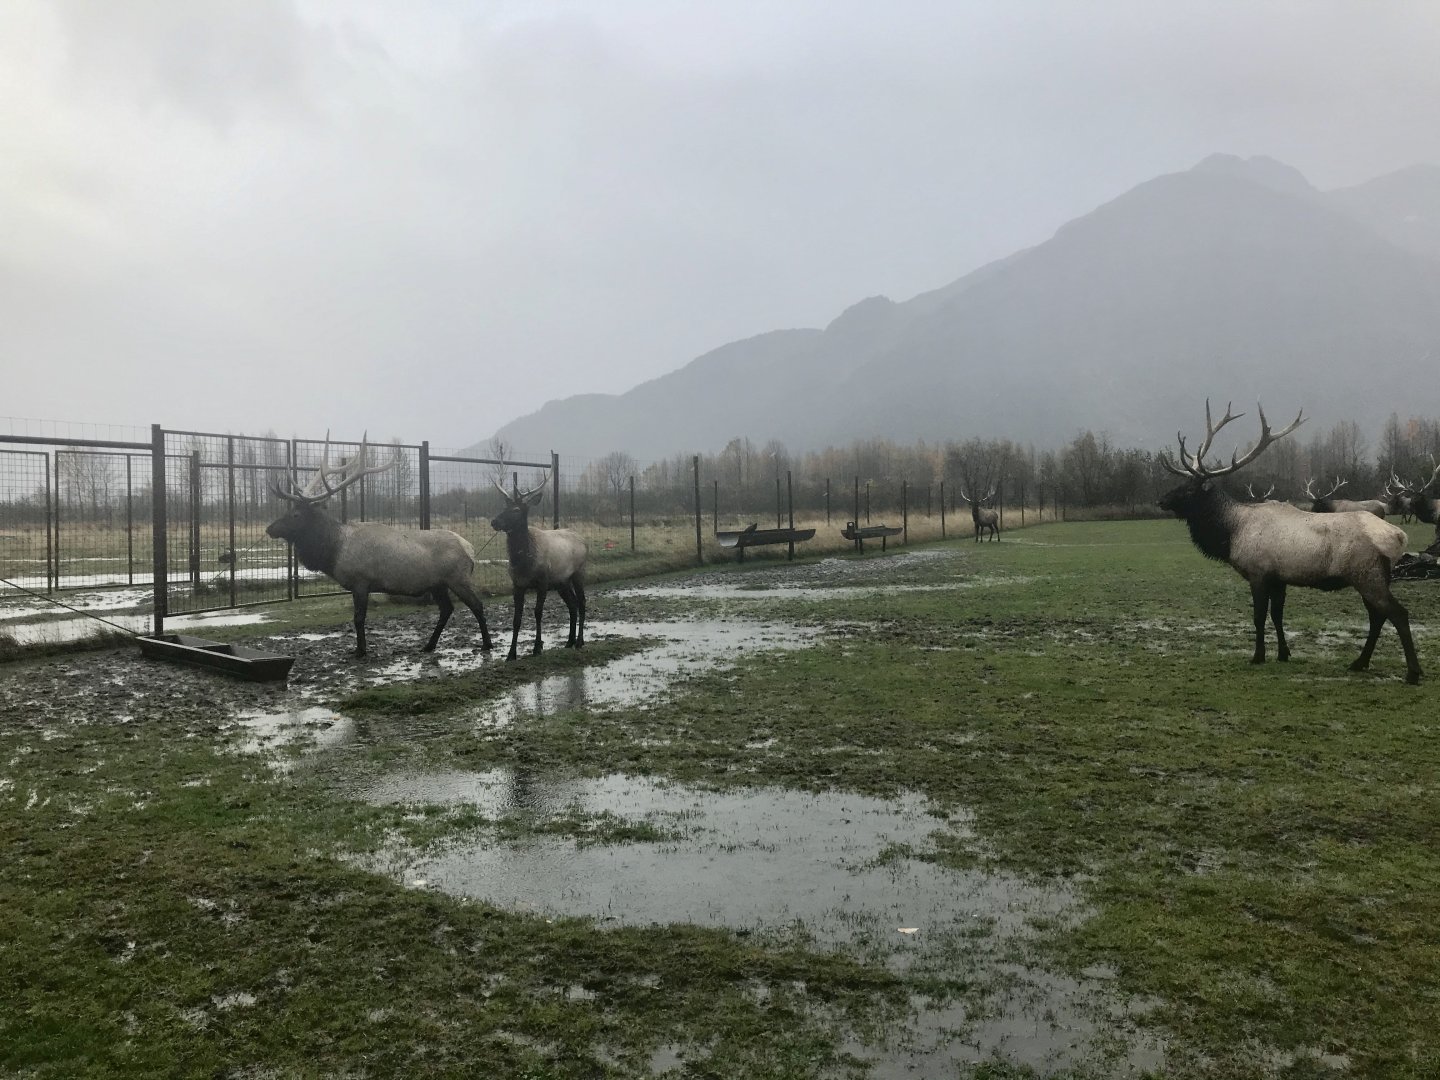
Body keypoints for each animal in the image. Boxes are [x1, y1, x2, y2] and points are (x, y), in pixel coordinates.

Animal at [266, 435, 492, 658]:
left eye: (296, 514)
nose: (269, 529)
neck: (334, 550)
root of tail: (470, 549)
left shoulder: (360, 582)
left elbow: (358, 618)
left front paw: (360, 650)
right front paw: (360, 648)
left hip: (457, 578)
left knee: (477, 605)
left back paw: (486, 644)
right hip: (438, 584)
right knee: (447, 609)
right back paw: (429, 645)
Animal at [490, 470, 588, 661]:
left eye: (516, 510)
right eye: (504, 507)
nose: (494, 522)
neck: (524, 563)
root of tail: (584, 542)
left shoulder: (543, 581)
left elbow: (537, 612)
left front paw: (537, 647)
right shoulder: (517, 584)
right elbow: (516, 618)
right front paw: (511, 654)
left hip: (579, 572)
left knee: (581, 602)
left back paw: (580, 641)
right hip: (562, 582)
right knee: (572, 605)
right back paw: (569, 641)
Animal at [1158, 401, 1420, 684]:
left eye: (1189, 489)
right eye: (1181, 482)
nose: (1161, 500)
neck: (1232, 531)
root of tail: (1399, 536)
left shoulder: (1258, 573)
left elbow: (1259, 617)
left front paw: (1258, 656)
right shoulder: (1278, 578)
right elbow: (1277, 615)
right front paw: (1283, 653)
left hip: (1367, 574)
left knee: (1397, 613)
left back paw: (1412, 672)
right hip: (1373, 578)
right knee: (1377, 616)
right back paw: (1359, 663)